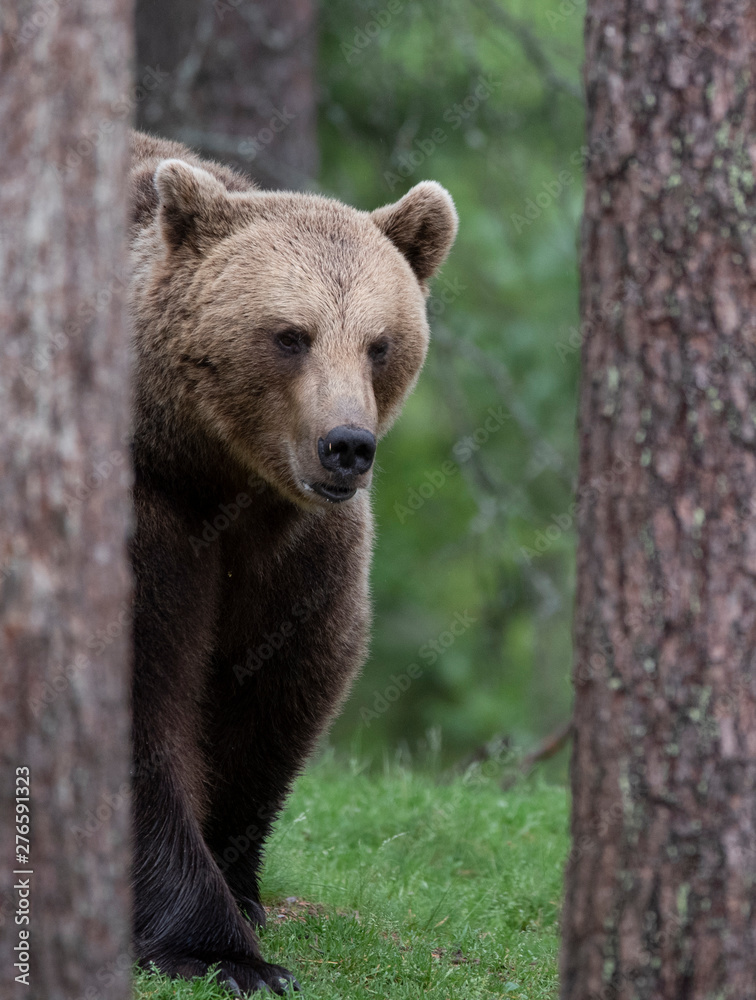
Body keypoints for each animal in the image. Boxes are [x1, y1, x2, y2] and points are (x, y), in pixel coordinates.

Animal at [127, 131, 458, 992]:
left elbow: (279, 688)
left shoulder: (300, 548)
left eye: (380, 343)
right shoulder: (150, 507)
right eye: (289, 334)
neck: (222, 479)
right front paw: (221, 951)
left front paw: (240, 893)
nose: (346, 446)